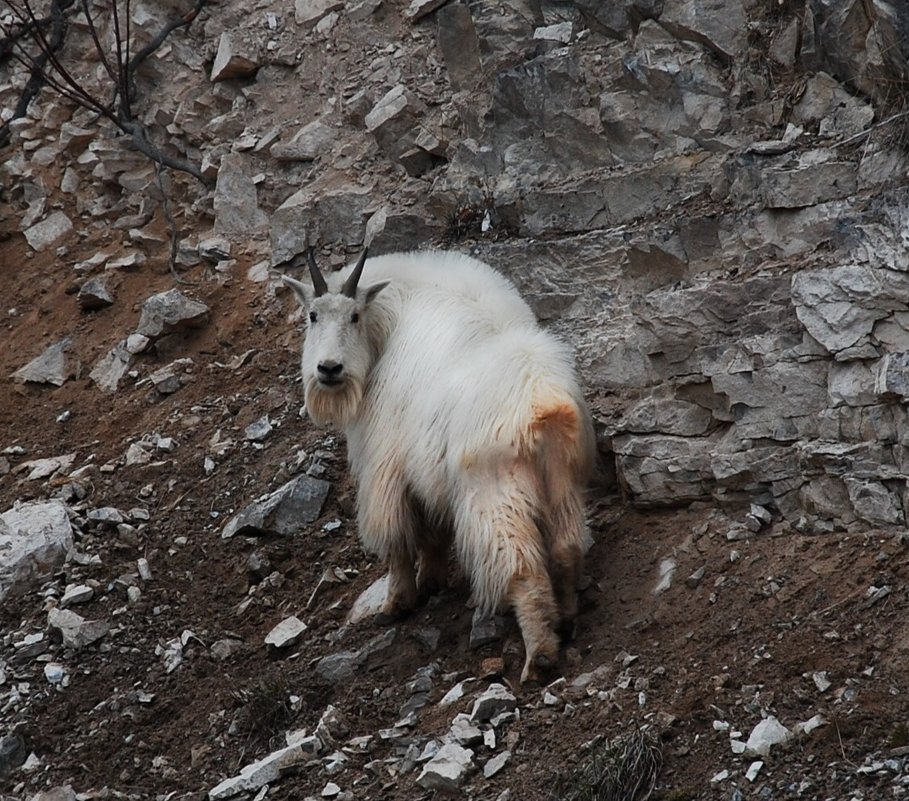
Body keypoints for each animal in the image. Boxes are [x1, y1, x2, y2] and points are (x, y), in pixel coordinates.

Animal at [284, 248, 596, 680]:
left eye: (354, 315)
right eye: (312, 315)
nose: (329, 369)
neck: (389, 323)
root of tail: (543, 406)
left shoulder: (385, 465)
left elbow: (397, 538)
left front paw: (397, 603)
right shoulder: (426, 471)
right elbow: (432, 530)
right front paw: (431, 580)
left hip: (494, 494)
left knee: (522, 569)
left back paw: (540, 657)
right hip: (562, 481)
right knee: (567, 548)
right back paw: (564, 622)